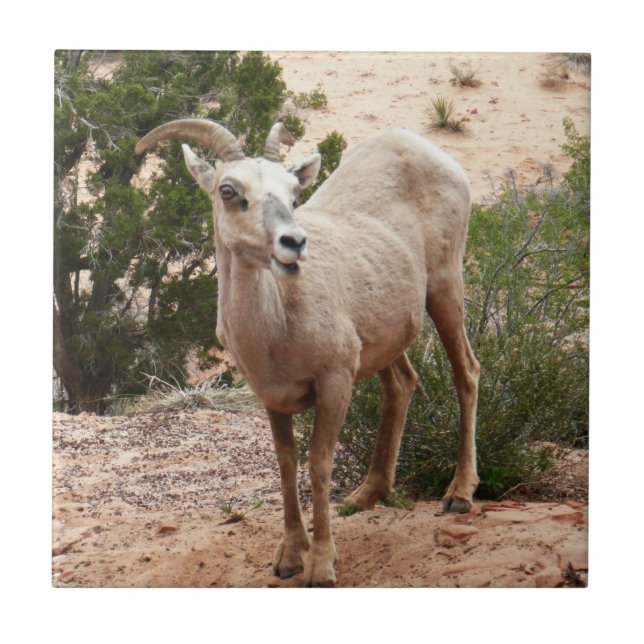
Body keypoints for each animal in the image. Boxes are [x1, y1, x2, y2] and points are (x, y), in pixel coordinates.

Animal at [135, 119, 480, 587]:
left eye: (293, 193)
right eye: (228, 190)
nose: (294, 242)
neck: (276, 327)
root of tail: (423, 147)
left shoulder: (334, 381)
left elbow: (318, 463)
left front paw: (320, 565)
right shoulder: (272, 397)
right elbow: (286, 465)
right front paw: (288, 558)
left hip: (445, 287)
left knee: (467, 373)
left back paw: (459, 495)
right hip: (385, 336)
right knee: (402, 384)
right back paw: (365, 496)